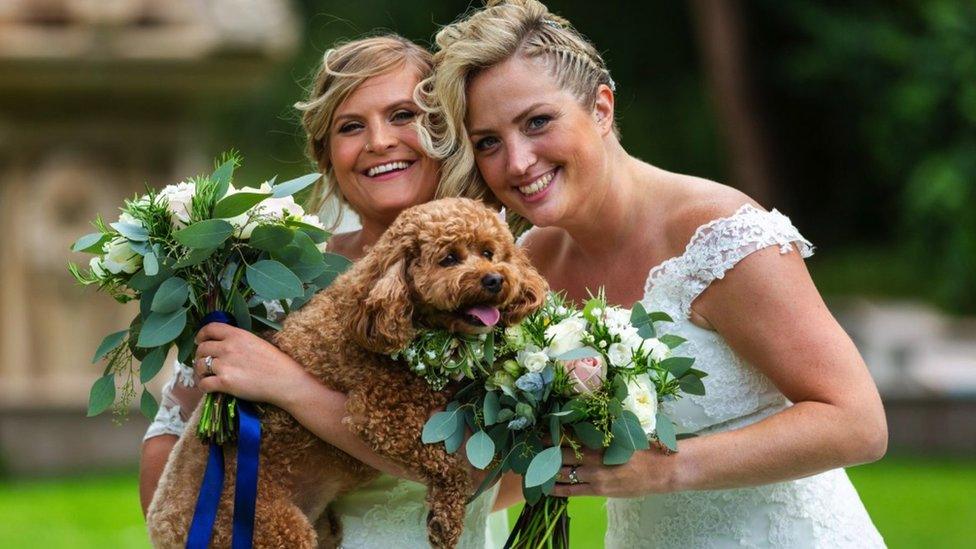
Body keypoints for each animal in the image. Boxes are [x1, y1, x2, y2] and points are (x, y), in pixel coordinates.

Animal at [150, 199, 552, 548]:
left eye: (489, 252)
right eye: (449, 259)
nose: (494, 280)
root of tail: (165, 524)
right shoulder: (382, 416)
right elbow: (447, 463)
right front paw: (445, 519)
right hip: (268, 527)